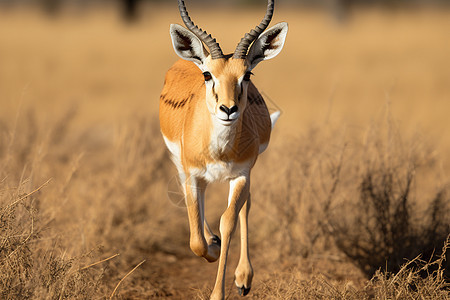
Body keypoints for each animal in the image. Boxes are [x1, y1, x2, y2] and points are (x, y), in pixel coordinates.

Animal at [160, 1, 288, 298]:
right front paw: (213, 246)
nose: (228, 109)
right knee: (195, 202)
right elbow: (195, 239)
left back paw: (243, 279)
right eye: (208, 74)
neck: (219, 151)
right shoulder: (193, 174)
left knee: (245, 206)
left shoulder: (241, 175)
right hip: (180, 165)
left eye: (247, 74)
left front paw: (220, 290)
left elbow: (228, 220)